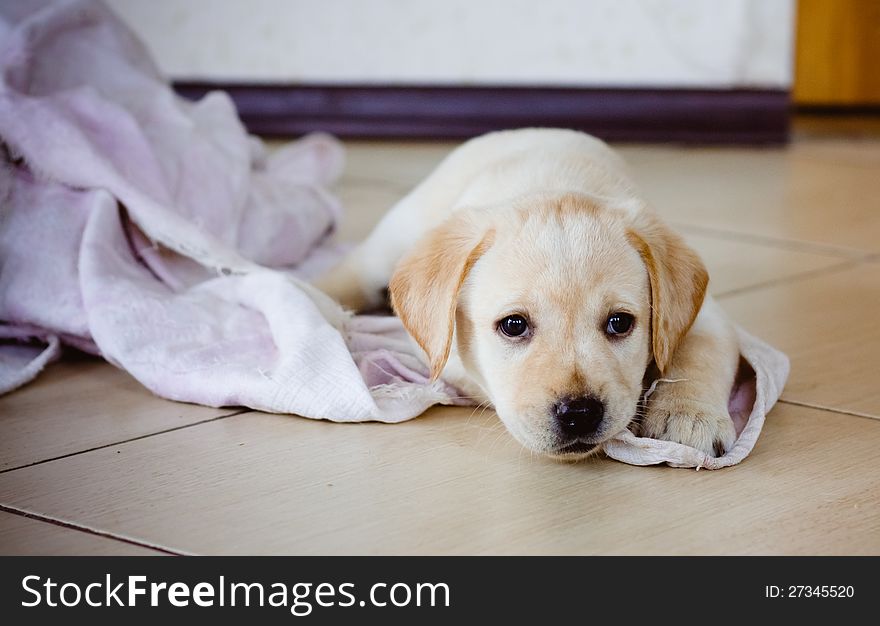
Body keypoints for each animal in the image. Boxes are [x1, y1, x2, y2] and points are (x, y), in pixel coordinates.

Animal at [312, 128, 740, 458]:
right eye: (513, 325)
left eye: (620, 323)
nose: (579, 413)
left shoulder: (706, 314)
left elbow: (700, 349)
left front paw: (689, 414)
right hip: (389, 244)